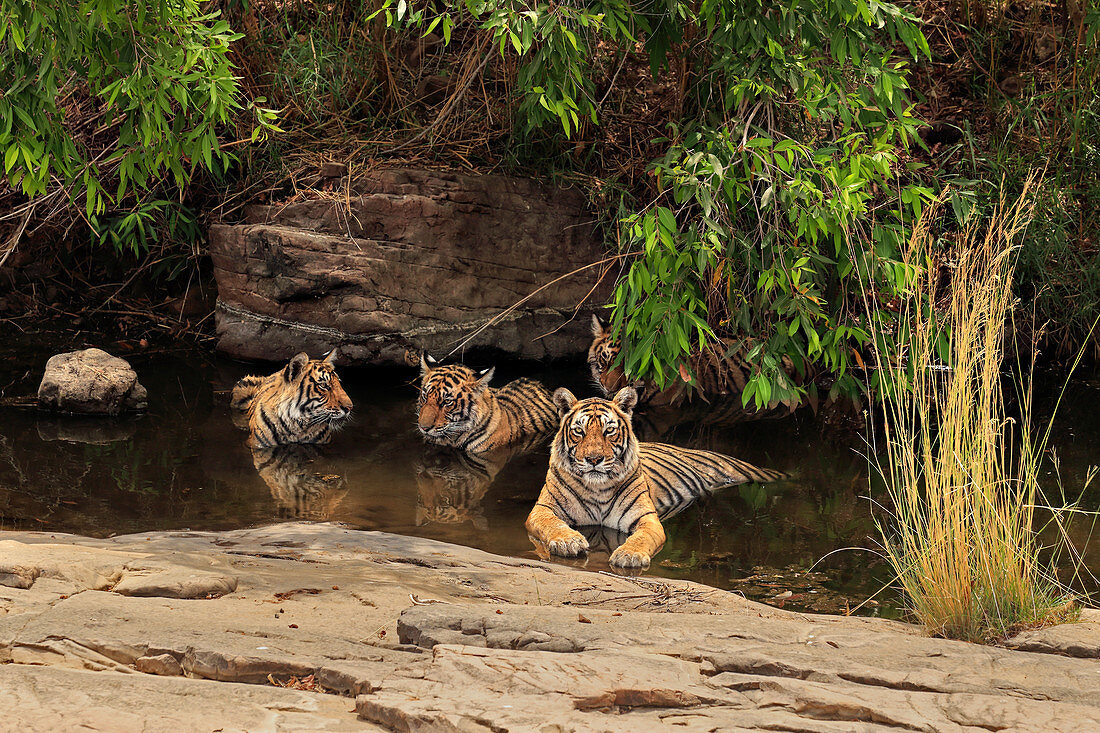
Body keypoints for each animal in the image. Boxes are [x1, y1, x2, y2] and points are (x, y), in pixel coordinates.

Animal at [528, 385, 787, 567]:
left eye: (609, 431)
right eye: (579, 431)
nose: (594, 459)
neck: (597, 488)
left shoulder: (646, 517)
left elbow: (642, 538)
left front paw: (629, 555)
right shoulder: (542, 509)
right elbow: (552, 524)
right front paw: (568, 541)